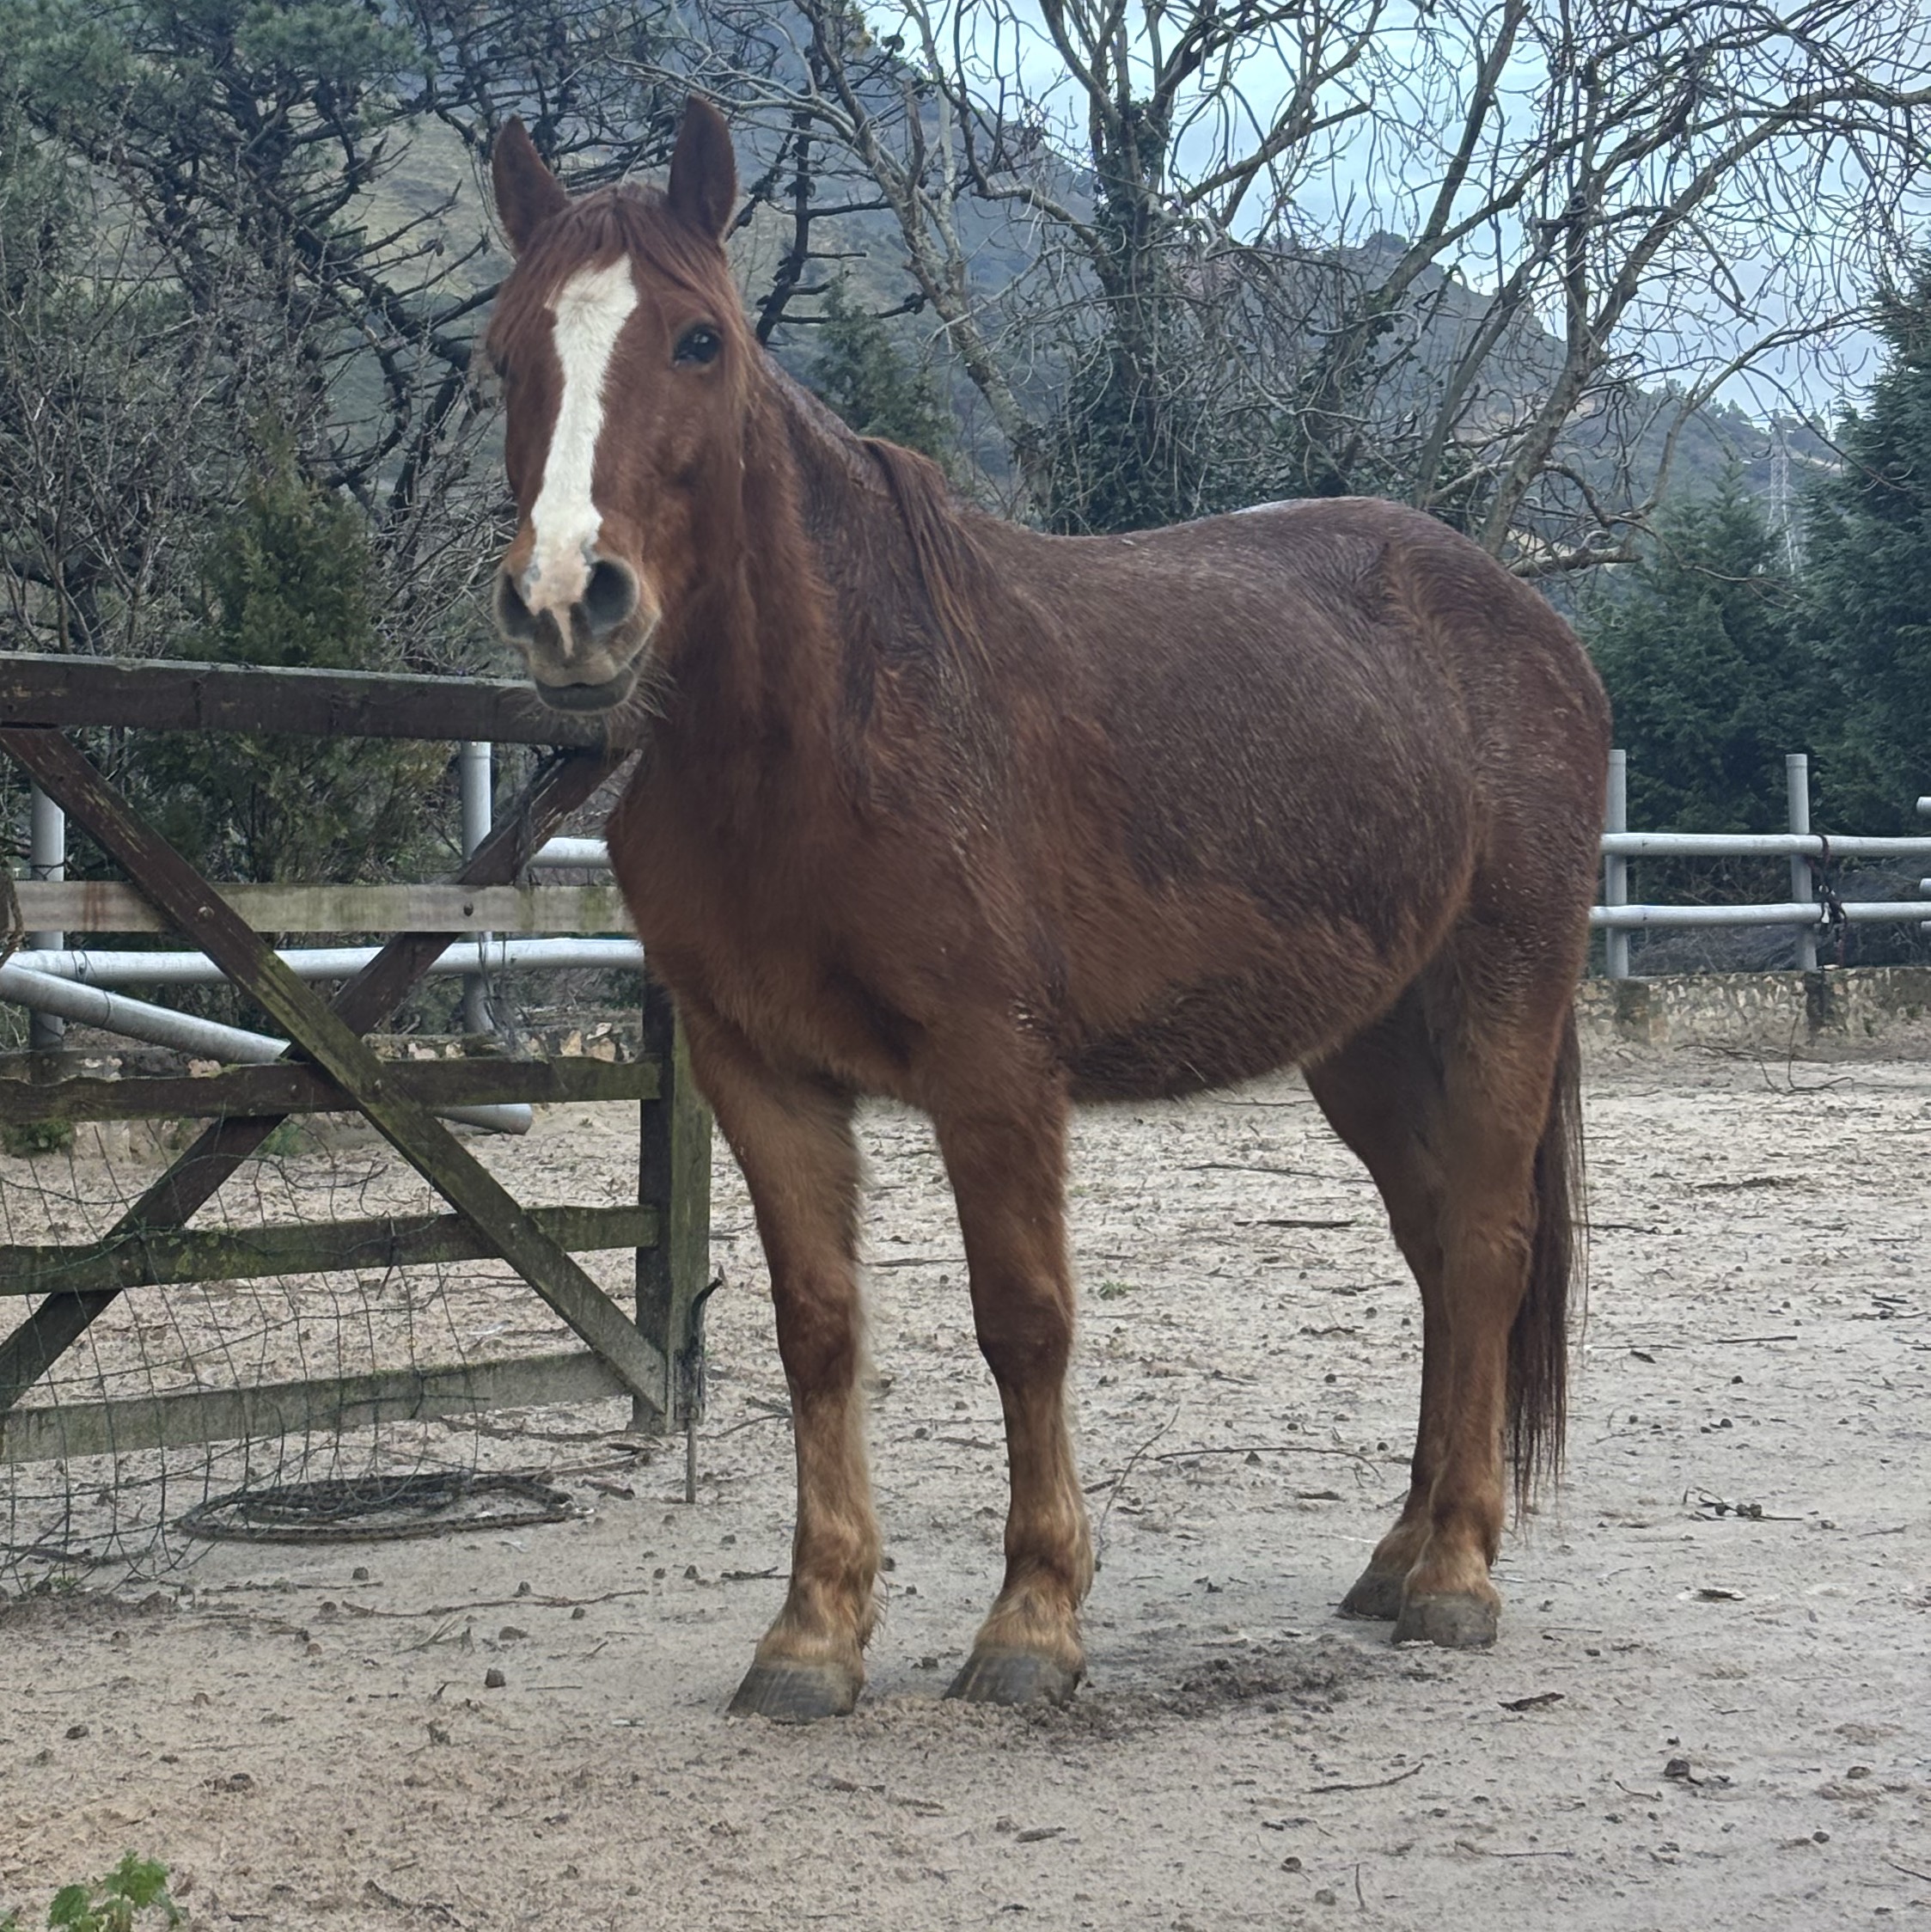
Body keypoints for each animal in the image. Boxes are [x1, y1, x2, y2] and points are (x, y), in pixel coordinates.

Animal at [484, 98, 1611, 1721]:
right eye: (503, 354)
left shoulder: (994, 1068)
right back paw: (1398, 1553)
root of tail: (1530, 623)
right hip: (1365, 1041)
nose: (571, 601)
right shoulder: (757, 1069)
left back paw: (1456, 1572)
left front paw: (1031, 1618)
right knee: (1437, 1249)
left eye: (697, 340)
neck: (821, 729)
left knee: (1487, 1246)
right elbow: (818, 1326)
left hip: (1497, 994)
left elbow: (1022, 1321)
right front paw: (811, 1632)